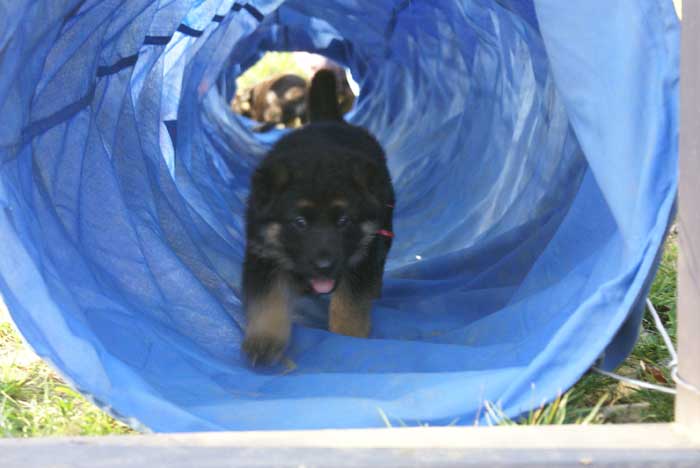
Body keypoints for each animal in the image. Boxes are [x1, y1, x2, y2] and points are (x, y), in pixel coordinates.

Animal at [242, 69, 394, 366]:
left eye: (344, 221)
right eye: (299, 223)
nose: (324, 265)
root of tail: (328, 121)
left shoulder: (364, 251)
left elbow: (350, 304)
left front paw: (348, 339)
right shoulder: (262, 250)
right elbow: (267, 298)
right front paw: (264, 339)